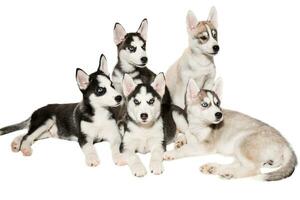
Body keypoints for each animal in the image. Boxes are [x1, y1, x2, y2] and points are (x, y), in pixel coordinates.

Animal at [164, 79, 298, 181]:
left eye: (218, 104)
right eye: (205, 105)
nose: (219, 114)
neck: (199, 125)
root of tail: (286, 144)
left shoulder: (207, 145)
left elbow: (187, 148)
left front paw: (171, 153)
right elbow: (186, 134)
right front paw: (180, 141)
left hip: (243, 141)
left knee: (253, 169)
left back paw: (229, 173)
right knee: (240, 164)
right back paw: (216, 169)